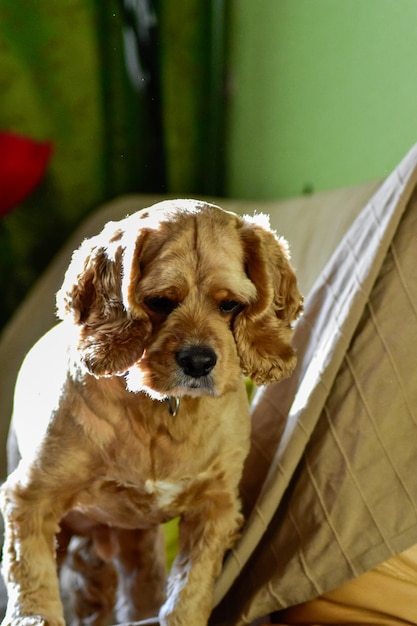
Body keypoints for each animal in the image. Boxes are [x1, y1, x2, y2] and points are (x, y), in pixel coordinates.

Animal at [0, 200, 300, 624]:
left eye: (229, 304)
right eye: (159, 302)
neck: (161, 409)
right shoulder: (29, 496)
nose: (198, 361)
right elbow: (31, 579)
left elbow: (190, 589)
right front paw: (33, 614)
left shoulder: (217, 506)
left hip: (137, 546)